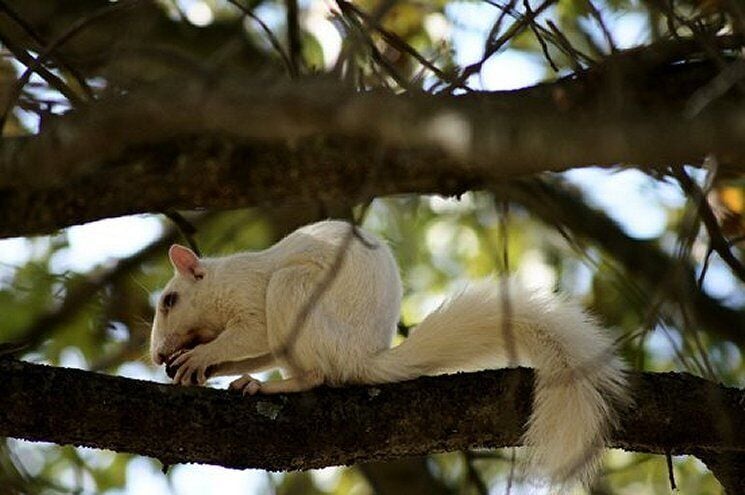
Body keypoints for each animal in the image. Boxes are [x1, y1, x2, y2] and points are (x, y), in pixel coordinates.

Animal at [150, 219, 629, 486]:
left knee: (319, 375)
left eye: (169, 300)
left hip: (292, 292)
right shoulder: (264, 337)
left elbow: (248, 336)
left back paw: (274, 386)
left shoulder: (251, 299)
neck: (221, 281)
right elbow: (256, 351)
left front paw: (199, 358)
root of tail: (361, 357)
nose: (156, 355)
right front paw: (196, 368)